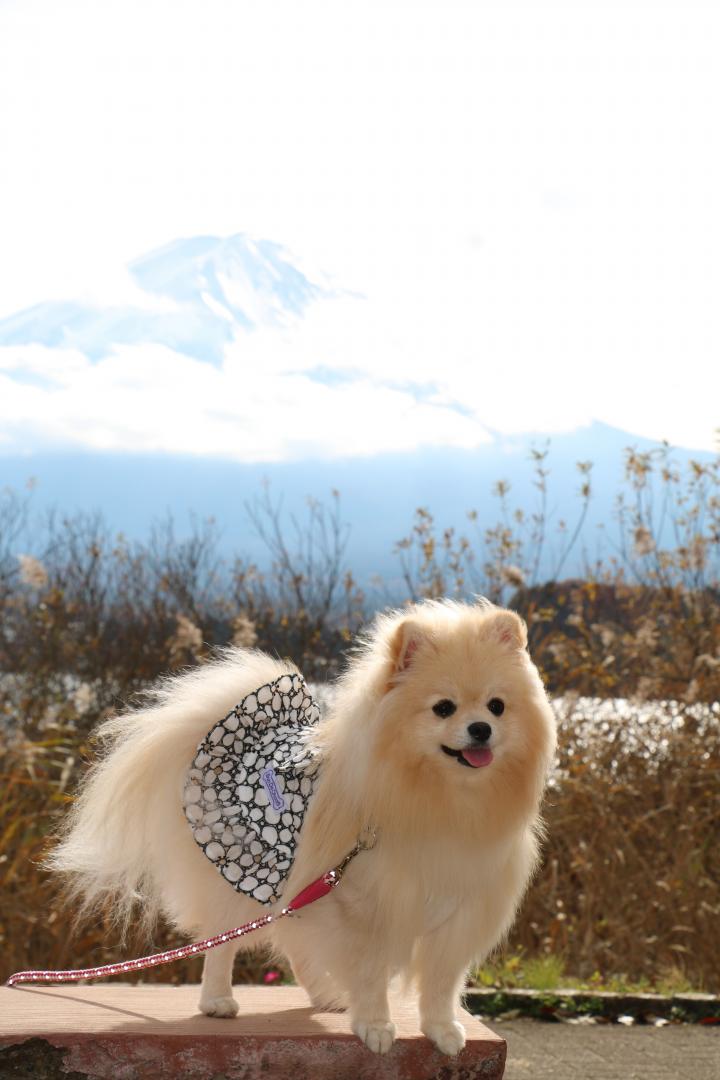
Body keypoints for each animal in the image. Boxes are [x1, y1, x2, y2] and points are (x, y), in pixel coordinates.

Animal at [49, 599, 556, 1056]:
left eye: (497, 706)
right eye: (444, 708)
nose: (480, 729)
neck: (445, 800)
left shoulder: (457, 912)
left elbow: (440, 983)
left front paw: (441, 1030)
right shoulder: (367, 908)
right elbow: (371, 973)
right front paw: (375, 1026)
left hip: (298, 883)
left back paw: (326, 997)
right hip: (249, 874)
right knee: (222, 943)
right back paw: (218, 1000)